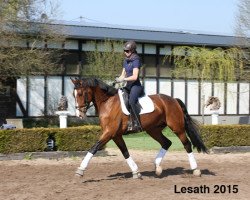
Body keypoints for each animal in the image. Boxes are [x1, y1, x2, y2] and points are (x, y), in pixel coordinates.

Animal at [71, 77, 208, 179]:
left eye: (80, 93)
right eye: (74, 95)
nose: (79, 115)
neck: (107, 102)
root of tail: (174, 99)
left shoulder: (109, 133)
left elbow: (94, 148)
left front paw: (80, 170)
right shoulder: (116, 135)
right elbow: (125, 152)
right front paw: (136, 172)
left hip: (177, 128)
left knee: (187, 144)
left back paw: (195, 169)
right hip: (153, 130)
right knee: (166, 142)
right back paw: (157, 167)